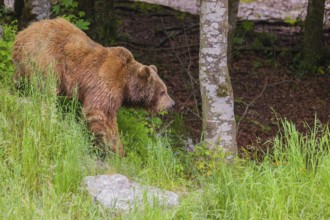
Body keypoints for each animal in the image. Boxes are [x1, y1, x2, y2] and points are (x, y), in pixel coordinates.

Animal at [12, 18, 175, 156]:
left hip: (23, 64)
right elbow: (100, 113)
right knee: (46, 87)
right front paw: (117, 148)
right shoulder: (106, 82)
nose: (172, 104)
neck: (126, 84)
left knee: (20, 81)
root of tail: (22, 34)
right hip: (47, 56)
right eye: (162, 92)